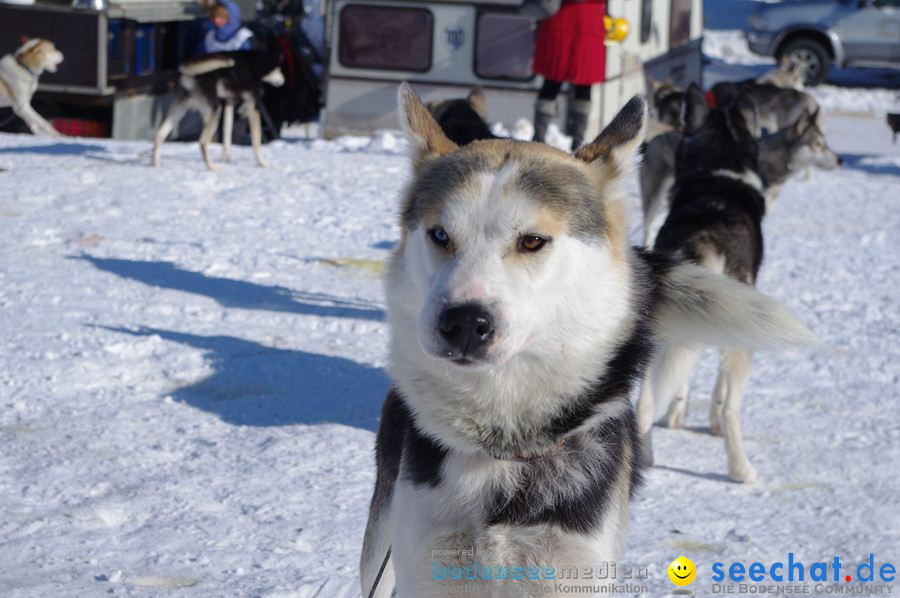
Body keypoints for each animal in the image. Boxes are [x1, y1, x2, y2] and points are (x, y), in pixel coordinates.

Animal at [151, 49, 284, 171]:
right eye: (279, 69)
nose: (283, 80)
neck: (255, 64)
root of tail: (191, 76)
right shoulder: (253, 108)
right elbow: (256, 142)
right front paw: (263, 163)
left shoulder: (228, 106)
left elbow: (227, 137)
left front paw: (226, 159)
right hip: (214, 112)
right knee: (202, 143)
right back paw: (211, 167)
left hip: (179, 112)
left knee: (159, 135)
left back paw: (155, 164)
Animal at [632, 85, 808, 488]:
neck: (720, 172)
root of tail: (703, 240)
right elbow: (718, 393)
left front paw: (676, 415)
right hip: (743, 340)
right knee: (730, 407)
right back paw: (741, 469)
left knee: (644, 403)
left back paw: (646, 456)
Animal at [636, 106, 840, 244]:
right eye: (818, 145)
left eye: (826, 144)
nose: (840, 160)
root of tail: (655, 139)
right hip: (654, 197)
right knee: (646, 225)